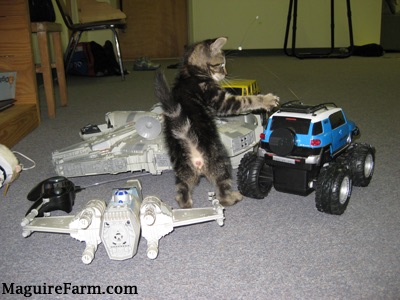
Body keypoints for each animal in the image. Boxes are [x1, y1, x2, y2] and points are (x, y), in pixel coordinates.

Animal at [155, 37, 280, 209]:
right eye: (221, 64)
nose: (225, 73)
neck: (189, 72)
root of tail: (188, 139)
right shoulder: (220, 100)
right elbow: (246, 100)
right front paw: (266, 100)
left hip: (182, 170)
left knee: (182, 193)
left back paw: (186, 204)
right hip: (222, 162)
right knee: (223, 194)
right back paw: (234, 197)